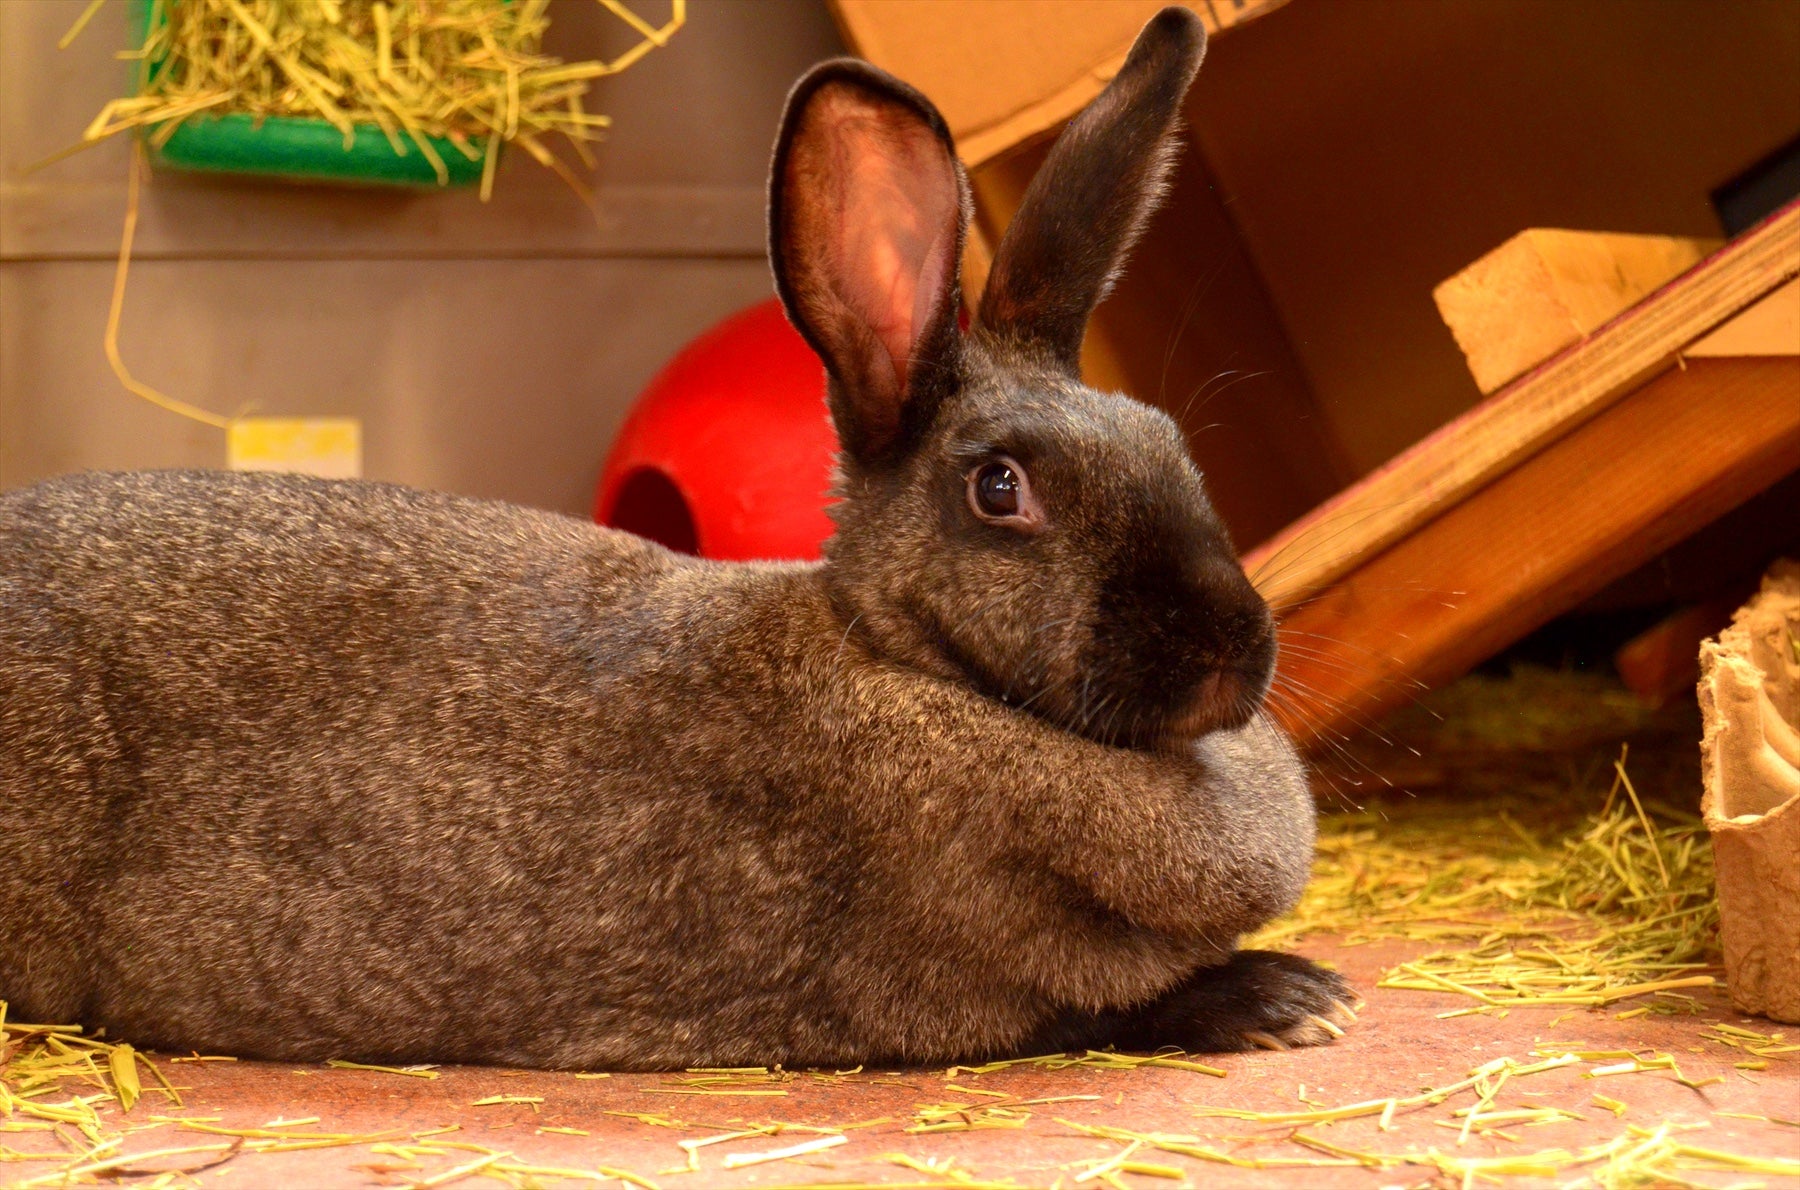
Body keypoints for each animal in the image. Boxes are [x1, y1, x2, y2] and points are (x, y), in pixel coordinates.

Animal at [0, 6, 1352, 1071]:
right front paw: (1294, 996)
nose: (1237, 645)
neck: (902, 661)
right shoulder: (951, 985)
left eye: (1168, 437)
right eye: (1000, 487)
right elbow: (1107, 1007)